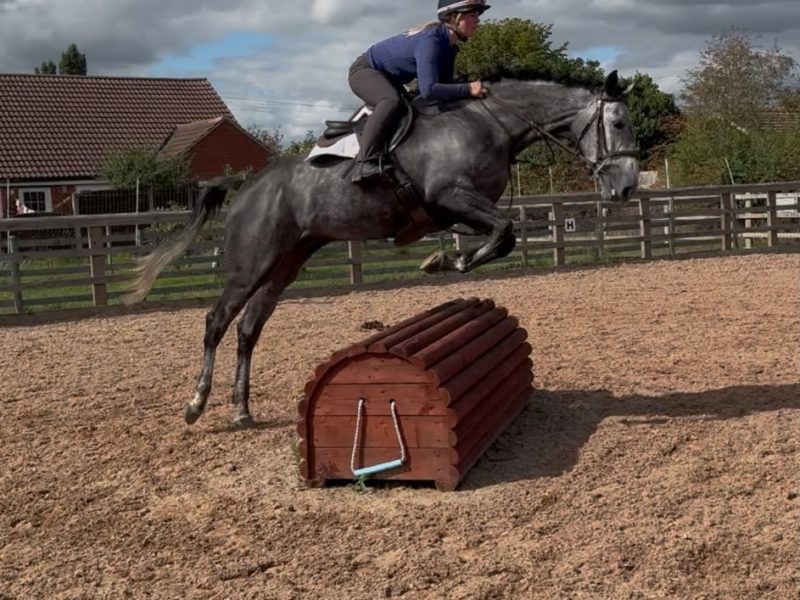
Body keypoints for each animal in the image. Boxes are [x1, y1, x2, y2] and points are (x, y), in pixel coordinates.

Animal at [123, 70, 639, 427]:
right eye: (617, 121)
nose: (627, 188)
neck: (488, 124)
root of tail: (247, 187)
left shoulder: (461, 208)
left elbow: (501, 235)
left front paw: (444, 258)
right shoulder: (450, 196)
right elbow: (502, 232)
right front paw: (446, 260)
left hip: (287, 263)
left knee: (249, 329)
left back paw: (241, 410)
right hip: (252, 263)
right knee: (216, 321)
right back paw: (196, 403)